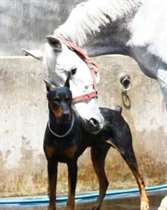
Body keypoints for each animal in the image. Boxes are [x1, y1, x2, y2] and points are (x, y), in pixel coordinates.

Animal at [43, 74, 149, 210]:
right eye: (56, 100)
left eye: (69, 99)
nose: (66, 114)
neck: (61, 130)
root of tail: (117, 112)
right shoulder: (51, 162)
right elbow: (52, 192)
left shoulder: (72, 163)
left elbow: (71, 195)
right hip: (97, 155)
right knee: (104, 182)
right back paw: (97, 205)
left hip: (126, 151)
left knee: (140, 179)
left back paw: (144, 203)